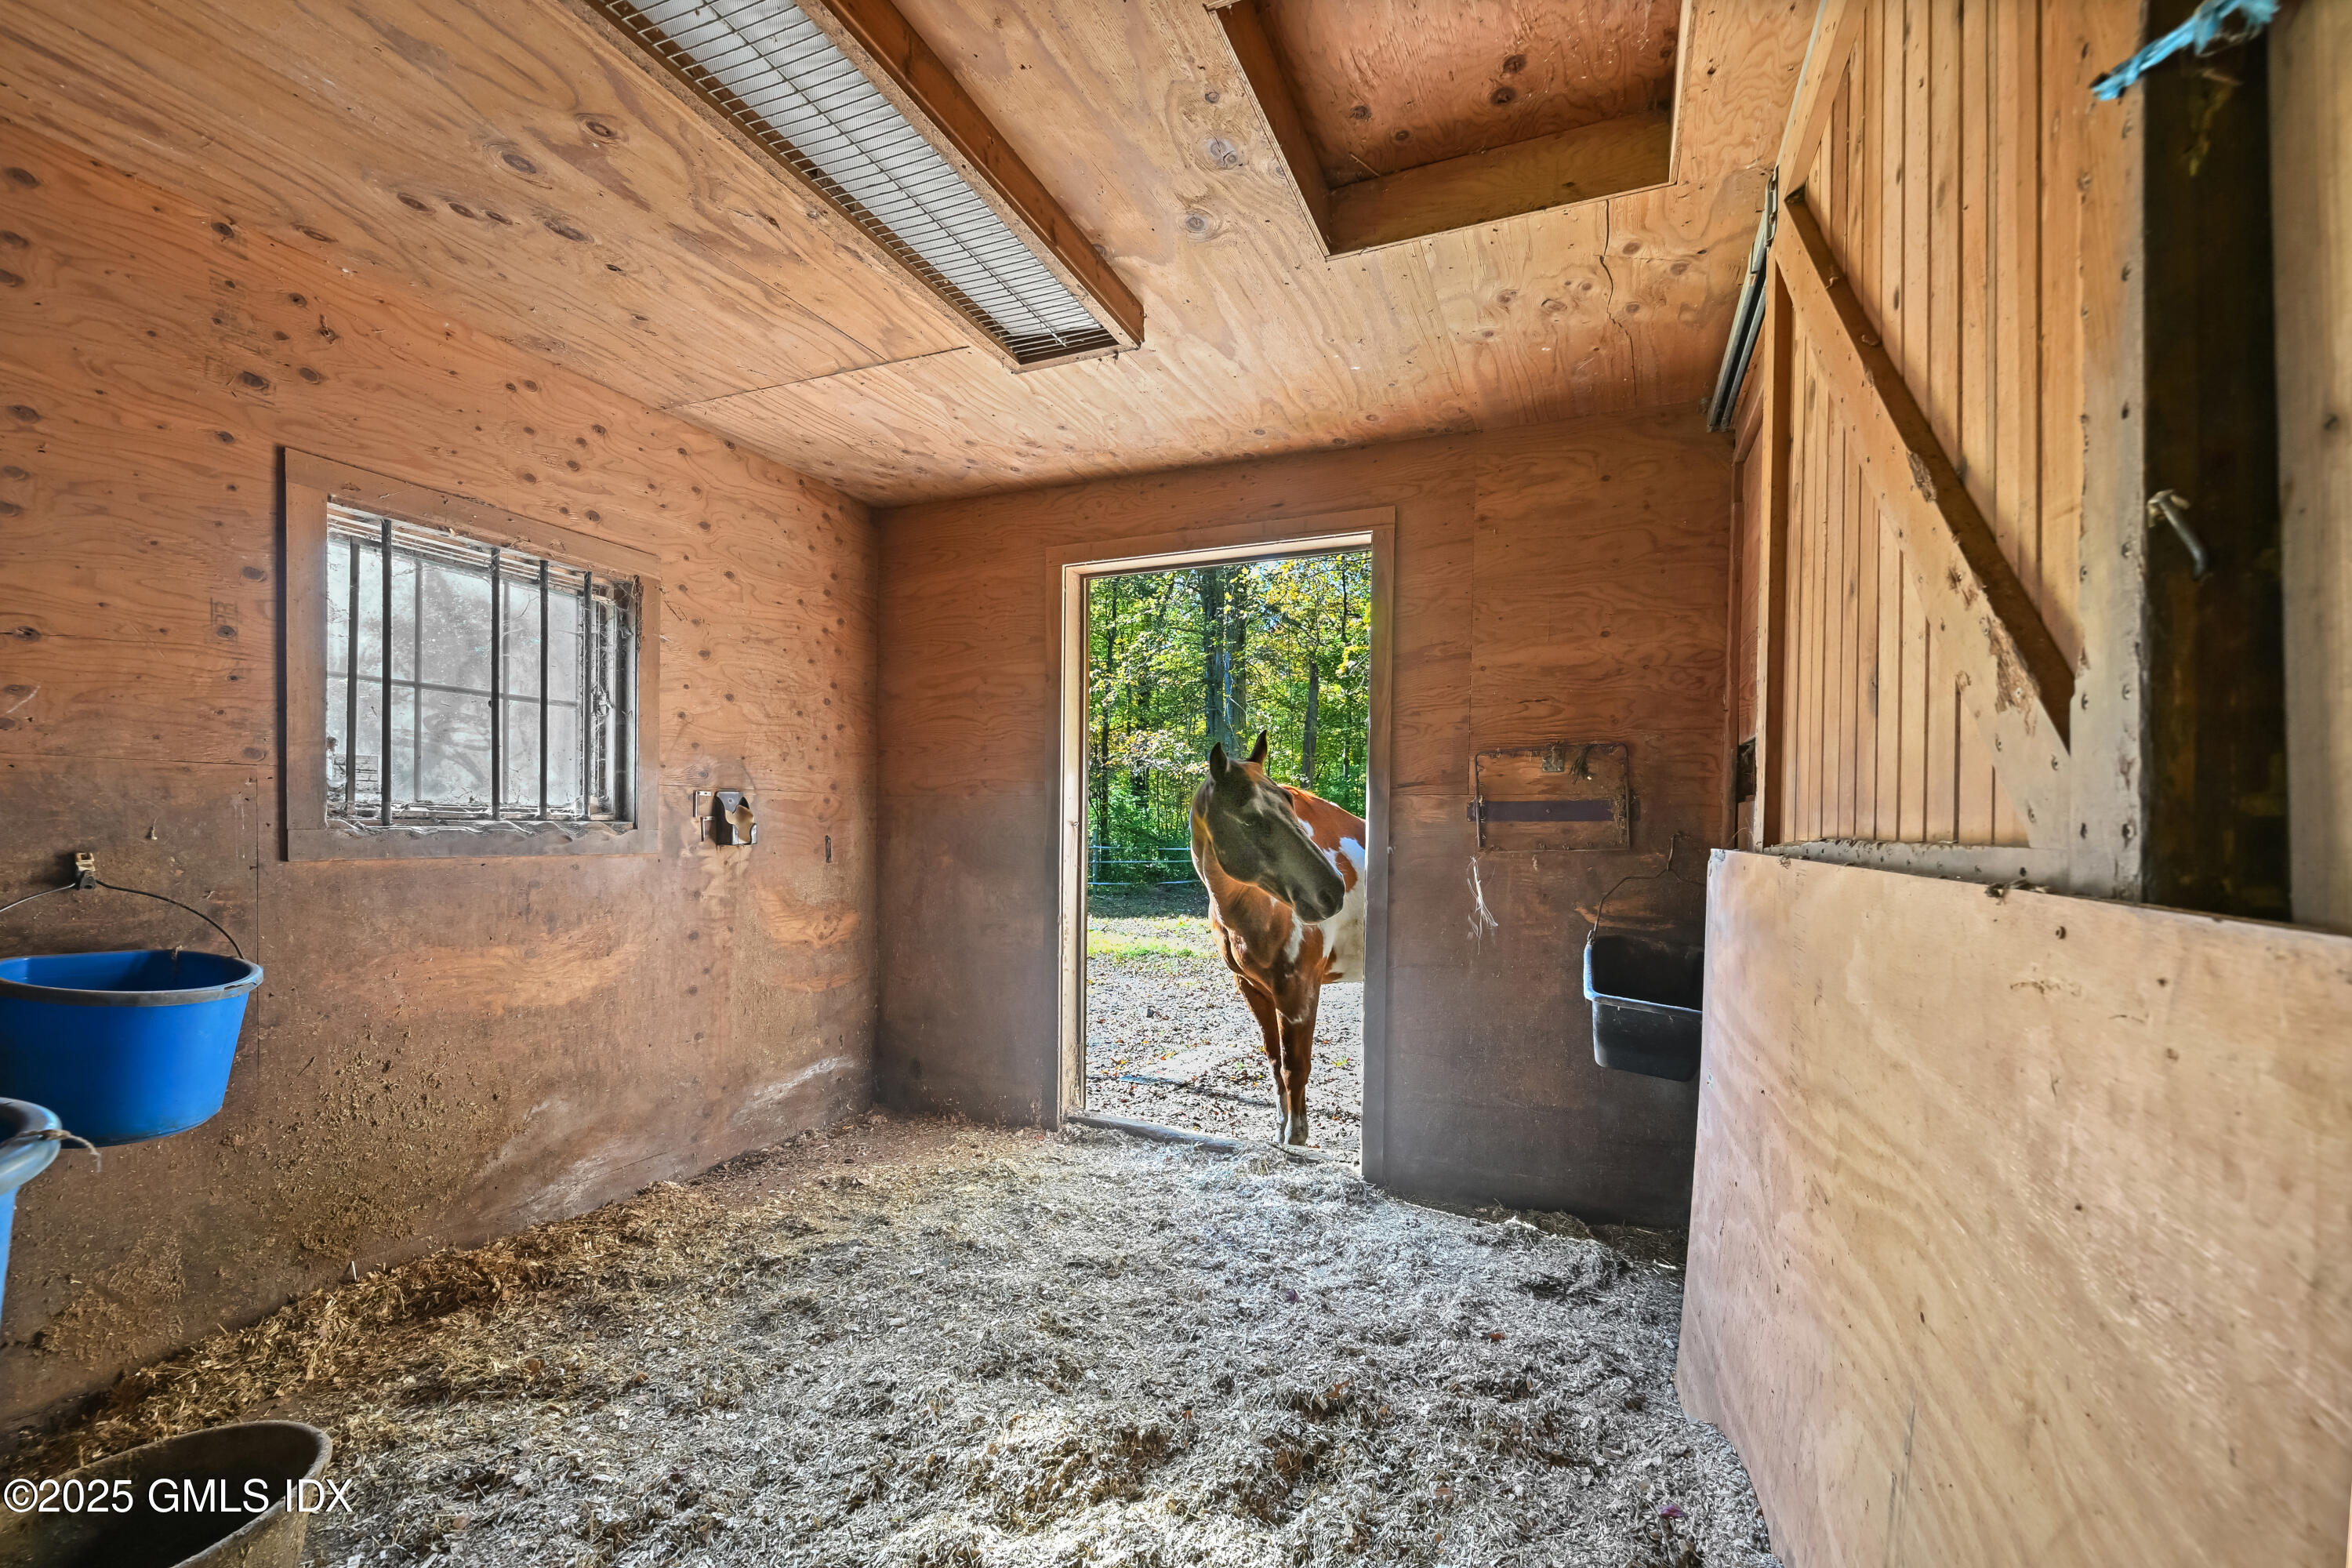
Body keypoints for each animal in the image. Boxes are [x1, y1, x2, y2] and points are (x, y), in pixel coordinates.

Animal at [1190, 731, 1367, 1146]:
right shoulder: (1253, 988)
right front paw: (1280, 1128)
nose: (1332, 890)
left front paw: (1296, 1137)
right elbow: (1274, 1062)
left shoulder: (1298, 991)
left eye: (1291, 804)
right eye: (1253, 820)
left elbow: (1295, 1066)